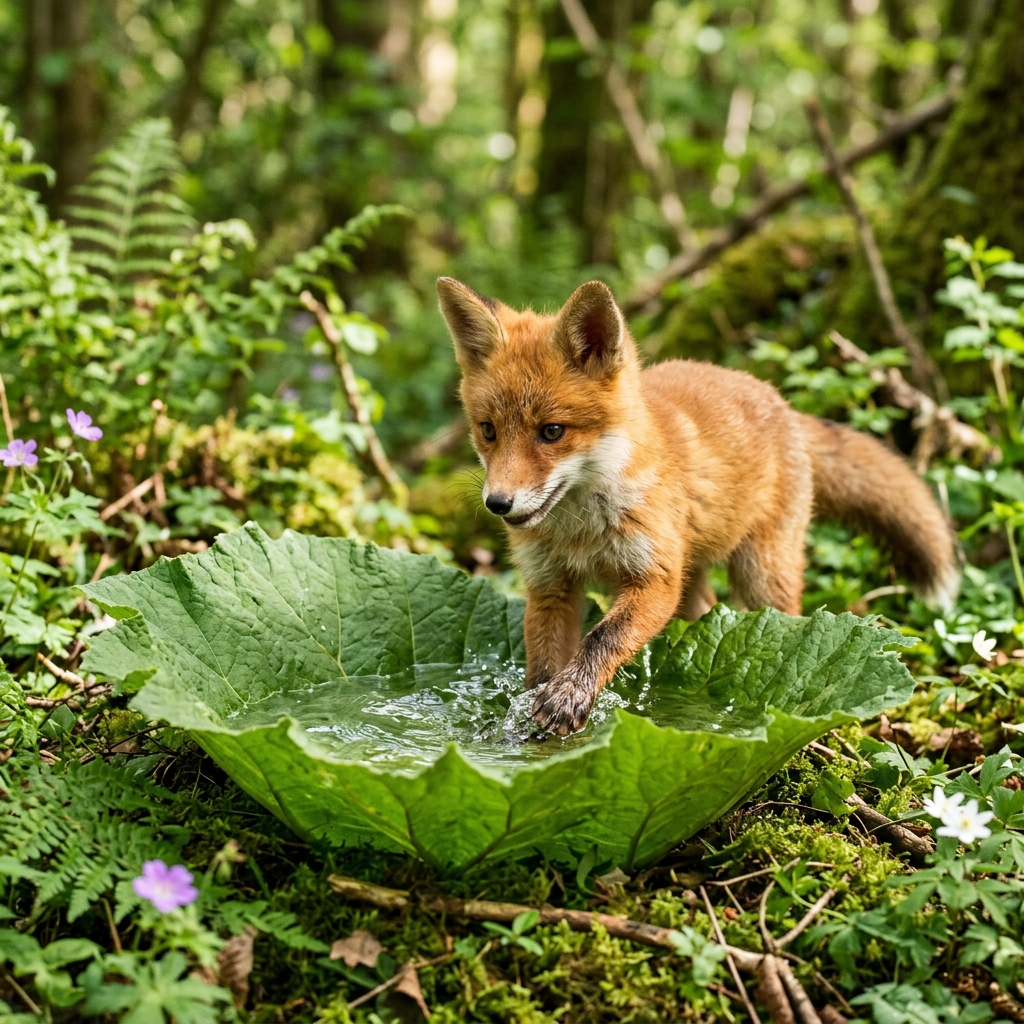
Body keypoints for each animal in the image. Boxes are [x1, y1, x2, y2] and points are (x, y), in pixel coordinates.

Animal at [436, 276, 960, 737]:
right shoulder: (550, 586)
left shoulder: (655, 578)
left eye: (551, 431)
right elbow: (544, 667)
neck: (581, 531)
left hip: (760, 573)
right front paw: (531, 723)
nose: (498, 503)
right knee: (706, 610)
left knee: (785, 622)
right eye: (488, 430)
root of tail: (783, 402)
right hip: (695, 584)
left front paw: (568, 699)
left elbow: (602, 637)